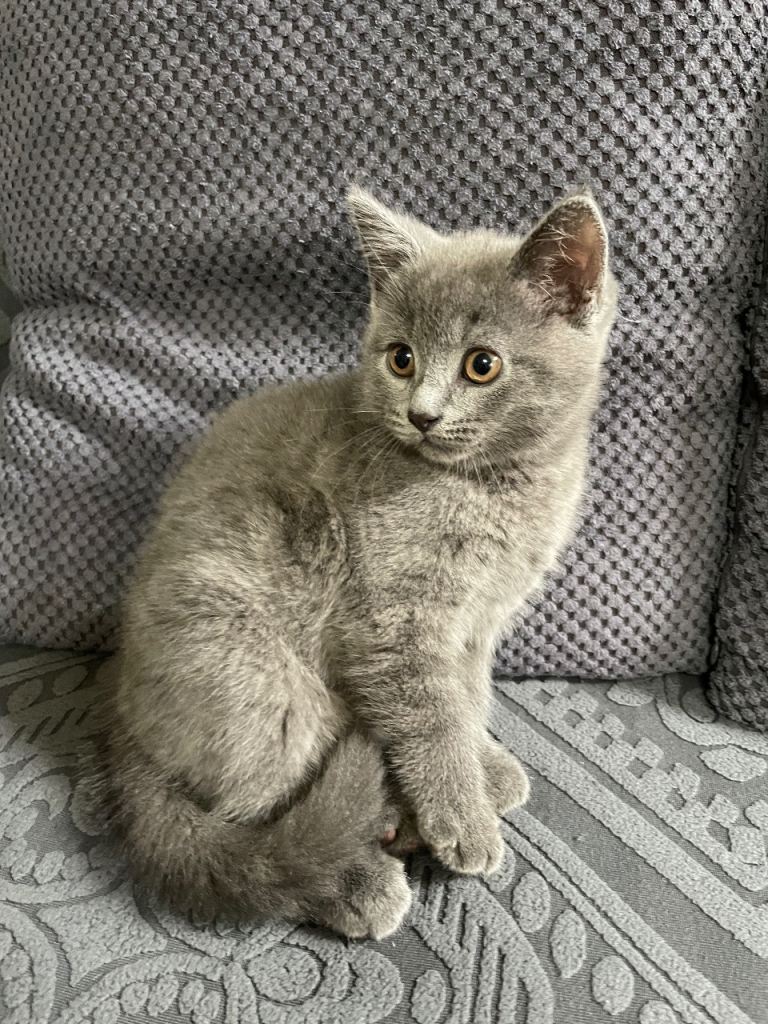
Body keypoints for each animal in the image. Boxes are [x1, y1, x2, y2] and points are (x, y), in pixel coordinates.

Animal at [88, 186, 617, 940]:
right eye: (400, 358)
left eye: (481, 365)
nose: (422, 415)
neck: (493, 487)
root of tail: (126, 726)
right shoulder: (391, 618)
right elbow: (431, 715)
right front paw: (462, 814)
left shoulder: (479, 620)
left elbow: (467, 695)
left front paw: (483, 766)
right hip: (263, 684)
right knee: (256, 825)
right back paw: (359, 880)